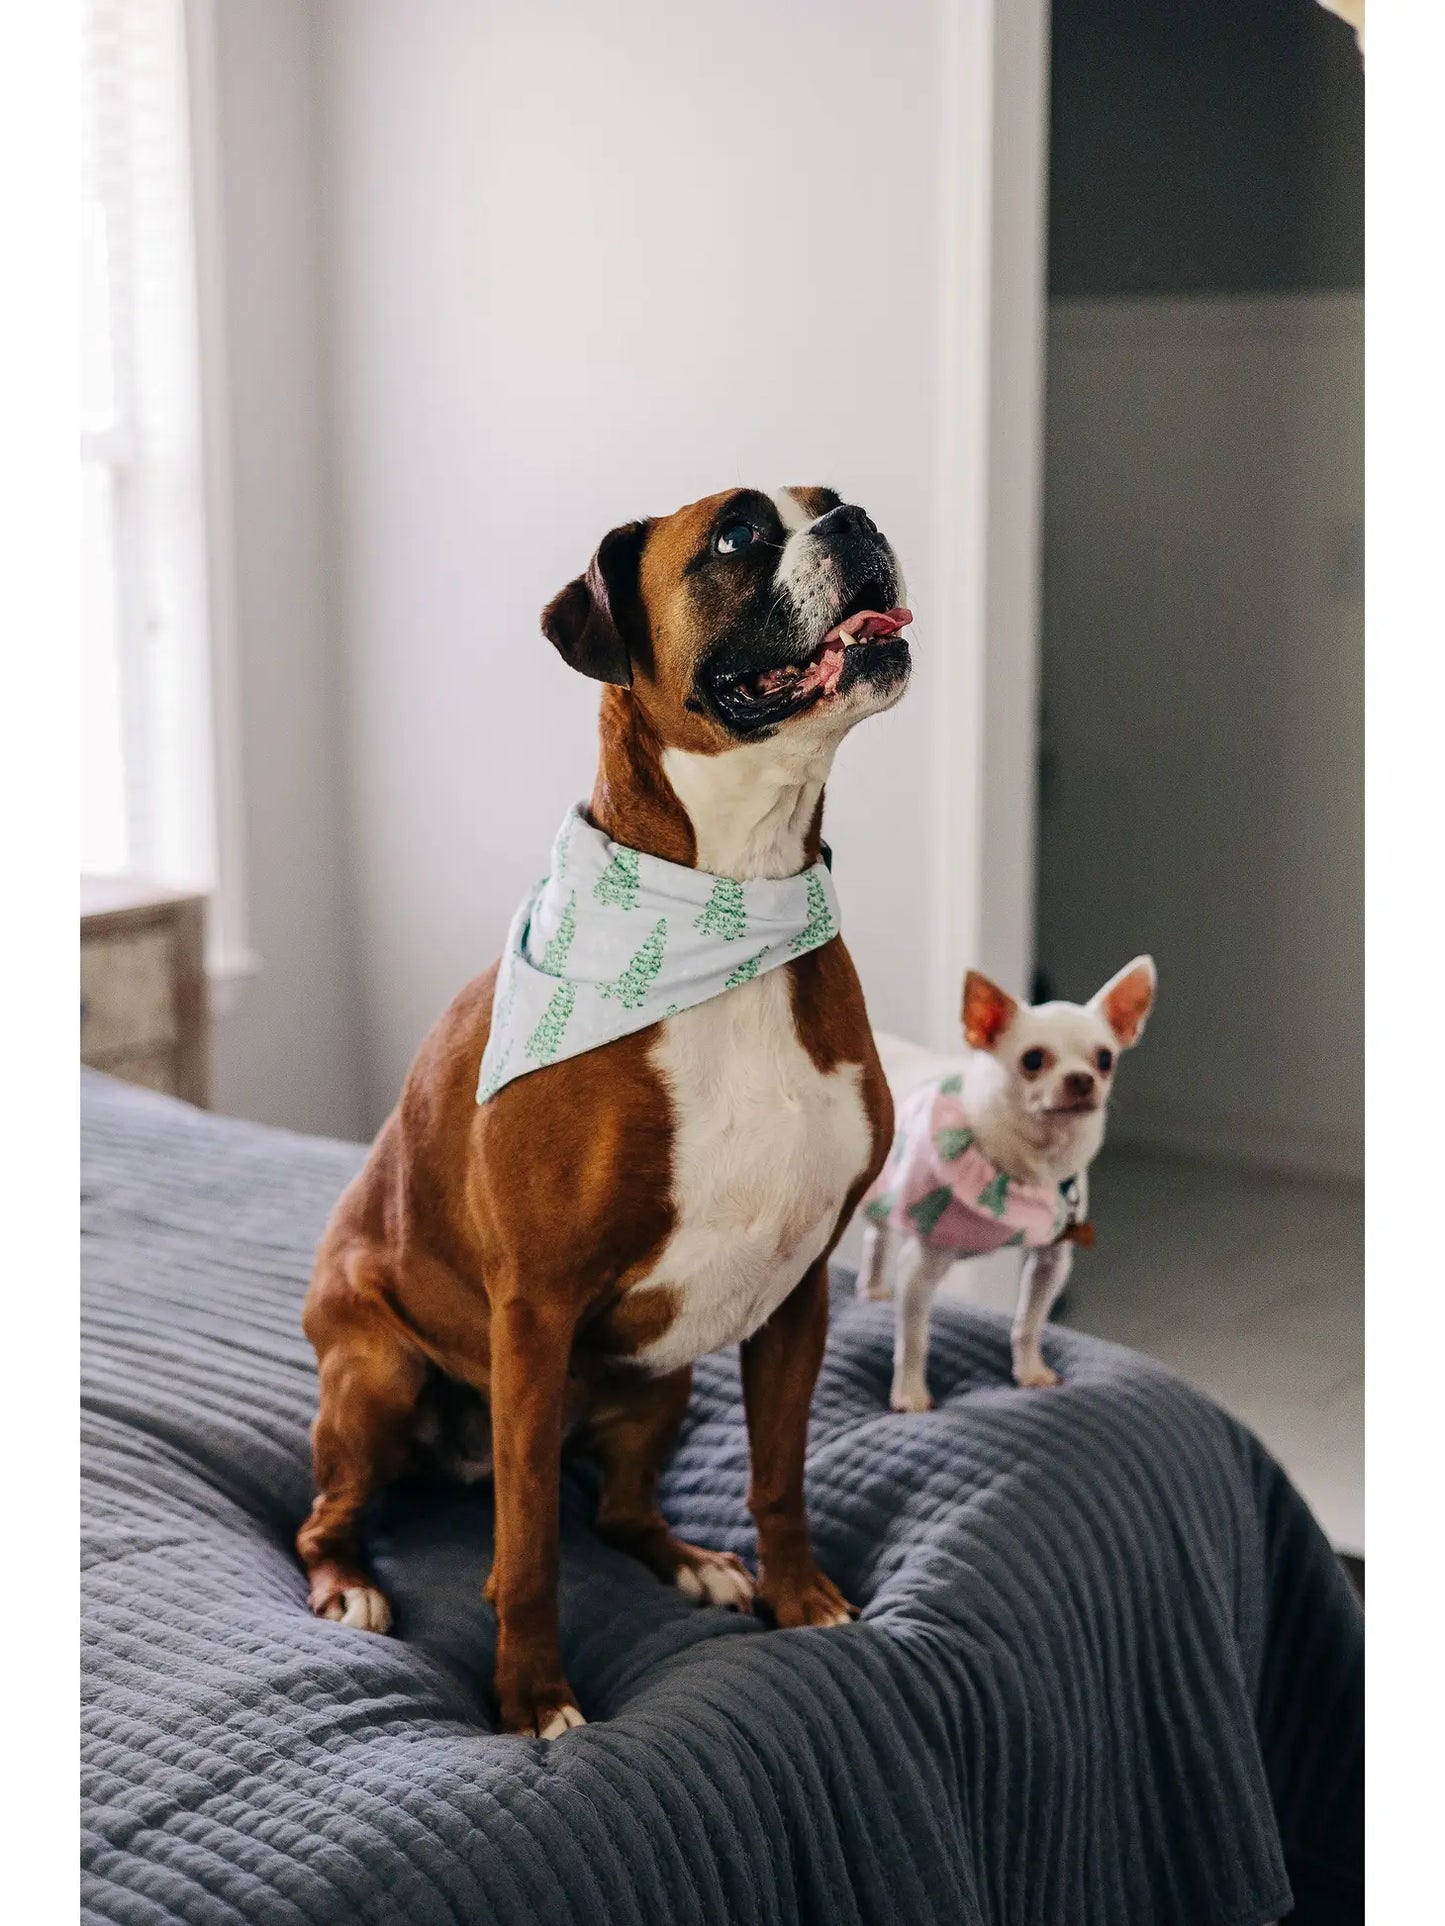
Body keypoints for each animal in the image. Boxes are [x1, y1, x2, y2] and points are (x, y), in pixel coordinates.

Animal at [296, 485, 917, 1748]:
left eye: (829, 500)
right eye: (738, 535)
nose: (859, 521)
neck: (733, 895)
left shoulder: (798, 1290)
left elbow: (778, 1476)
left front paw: (799, 1601)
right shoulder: (532, 1313)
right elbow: (528, 1542)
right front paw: (533, 1698)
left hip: (657, 1381)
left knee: (619, 1512)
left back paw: (693, 1560)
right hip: (375, 1373)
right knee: (331, 1513)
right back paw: (348, 1583)